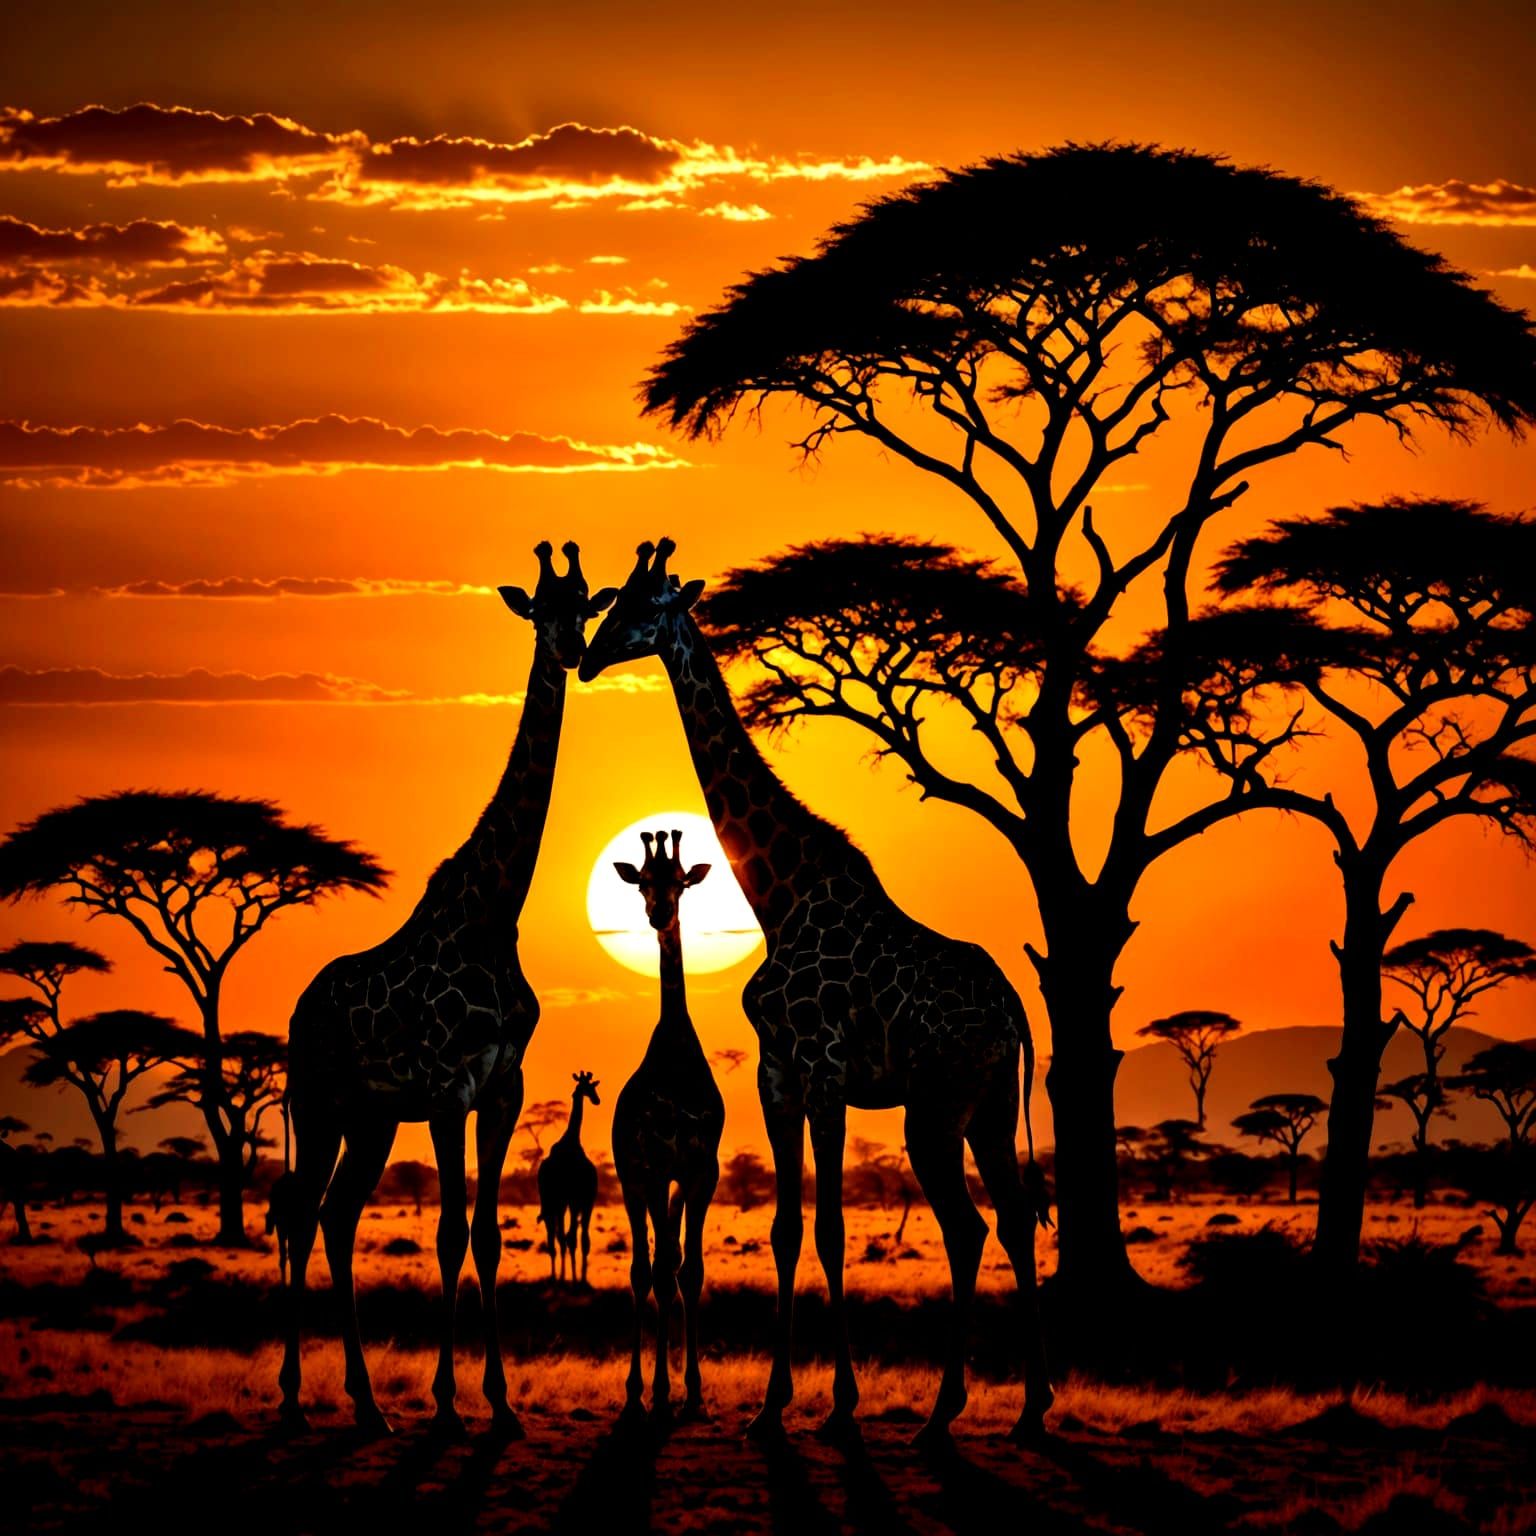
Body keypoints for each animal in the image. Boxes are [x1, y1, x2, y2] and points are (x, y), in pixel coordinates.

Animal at [537, 1069, 601, 1283]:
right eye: (586, 1087)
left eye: (592, 1086)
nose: (597, 1100)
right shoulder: (571, 1200)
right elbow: (569, 1237)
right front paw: (571, 1277)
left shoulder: (572, 1200)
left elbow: (570, 1237)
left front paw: (573, 1277)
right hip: (560, 1202)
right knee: (564, 1237)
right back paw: (563, 1277)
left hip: (560, 1202)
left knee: (562, 1237)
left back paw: (565, 1277)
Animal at [581, 539, 1052, 1445]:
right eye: (610, 599)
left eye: (646, 607)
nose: (587, 656)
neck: (780, 893)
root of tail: (1014, 1007)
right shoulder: (778, 1076)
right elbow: (786, 1228)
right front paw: (774, 1405)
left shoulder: (824, 1068)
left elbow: (831, 1230)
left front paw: (836, 1403)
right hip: (988, 1107)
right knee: (1011, 1220)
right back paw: (1032, 1409)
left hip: (935, 1110)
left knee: (969, 1226)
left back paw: (945, 1412)